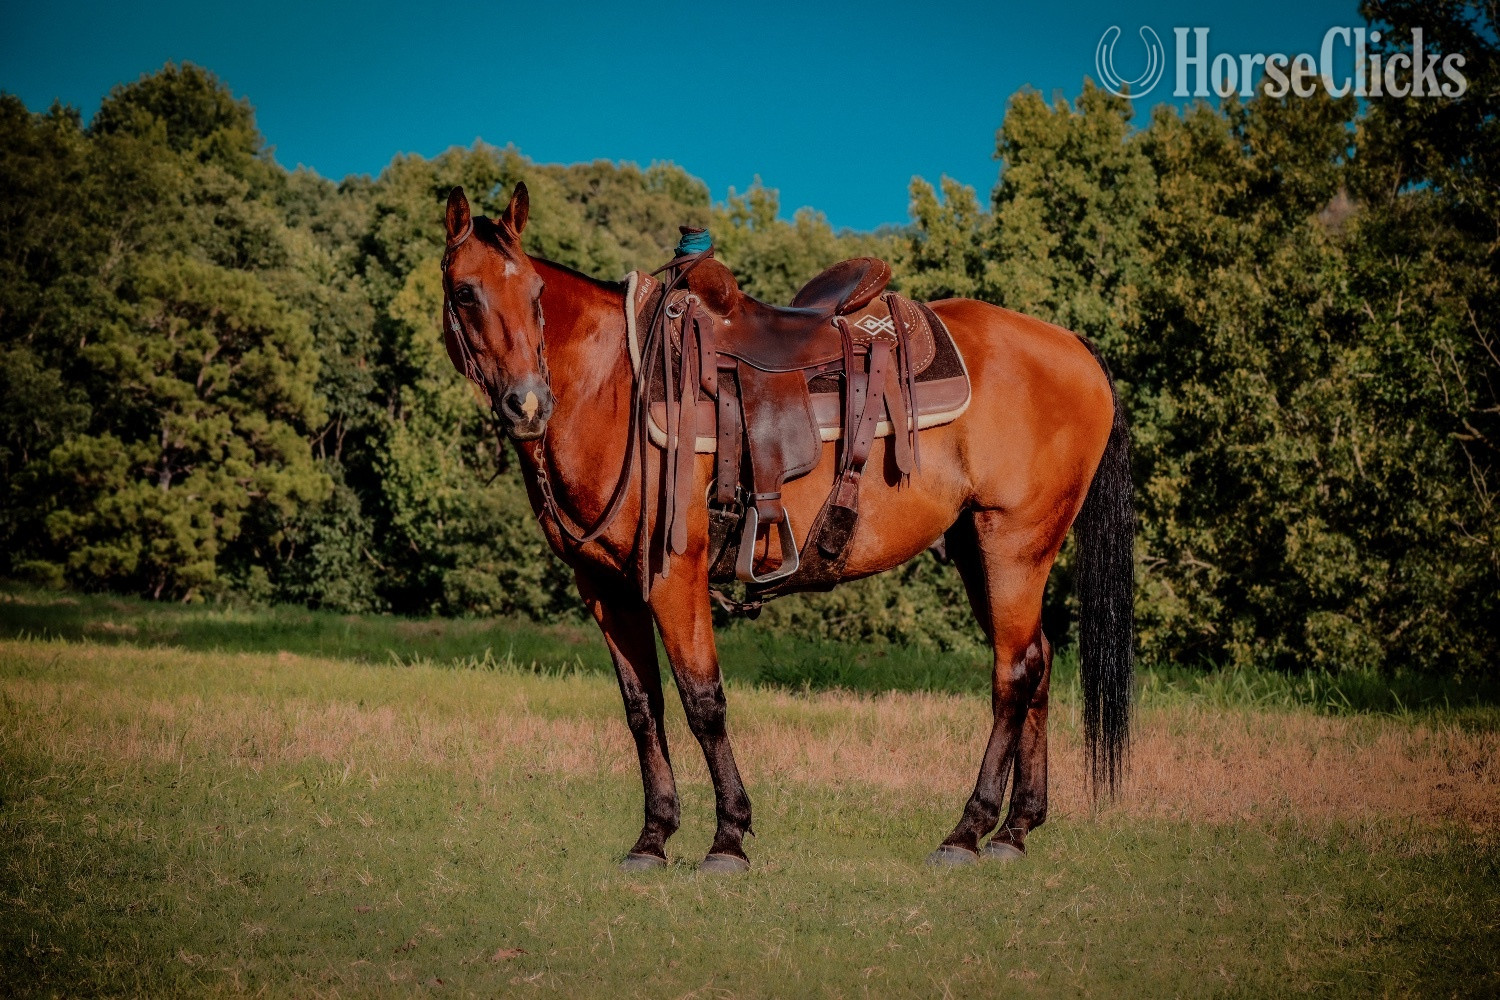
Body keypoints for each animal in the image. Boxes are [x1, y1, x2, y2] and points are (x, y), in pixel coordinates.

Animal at [439, 182, 1134, 872]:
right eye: (464, 292)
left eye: (535, 293)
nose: (528, 403)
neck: (613, 385)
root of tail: (1075, 348)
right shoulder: (607, 589)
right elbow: (644, 709)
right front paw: (653, 837)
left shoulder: (675, 574)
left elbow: (703, 701)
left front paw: (727, 838)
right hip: (978, 550)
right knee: (1037, 662)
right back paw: (1016, 829)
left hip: (1014, 546)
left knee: (1012, 675)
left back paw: (968, 831)